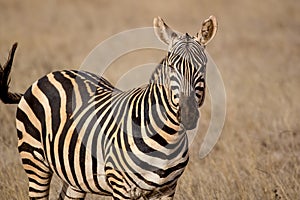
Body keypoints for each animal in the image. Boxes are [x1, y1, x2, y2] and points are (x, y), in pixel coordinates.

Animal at [0, 16, 217, 200]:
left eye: (203, 66)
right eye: (171, 66)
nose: (188, 114)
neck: (168, 138)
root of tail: (47, 75)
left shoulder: (166, 189)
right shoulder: (121, 186)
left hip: (74, 177)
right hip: (35, 160)